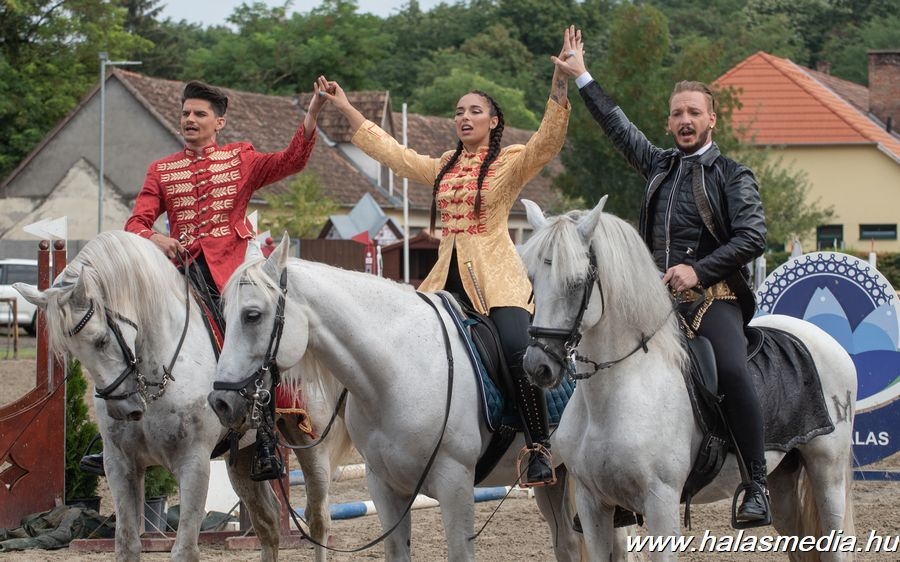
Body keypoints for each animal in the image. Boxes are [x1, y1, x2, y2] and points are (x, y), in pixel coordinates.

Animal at [14, 229, 352, 560]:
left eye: (100, 340)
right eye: (72, 351)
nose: (124, 409)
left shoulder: (194, 463)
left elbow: (184, 549)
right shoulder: (120, 465)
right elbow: (127, 543)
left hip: (309, 442)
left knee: (318, 519)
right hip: (241, 456)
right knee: (267, 521)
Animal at [204, 237, 588, 560]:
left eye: (252, 315)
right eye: (223, 313)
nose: (220, 401)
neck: (398, 372)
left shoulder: (455, 485)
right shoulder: (385, 489)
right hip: (556, 477)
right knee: (568, 543)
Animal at [516, 195, 856, 556]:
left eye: (577, 282)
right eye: (532, 279)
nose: (538, 365)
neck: (616, 392)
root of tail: (825, 340)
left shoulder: (660, 501)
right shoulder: (593, 504)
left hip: (827, 471)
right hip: (785, 483)